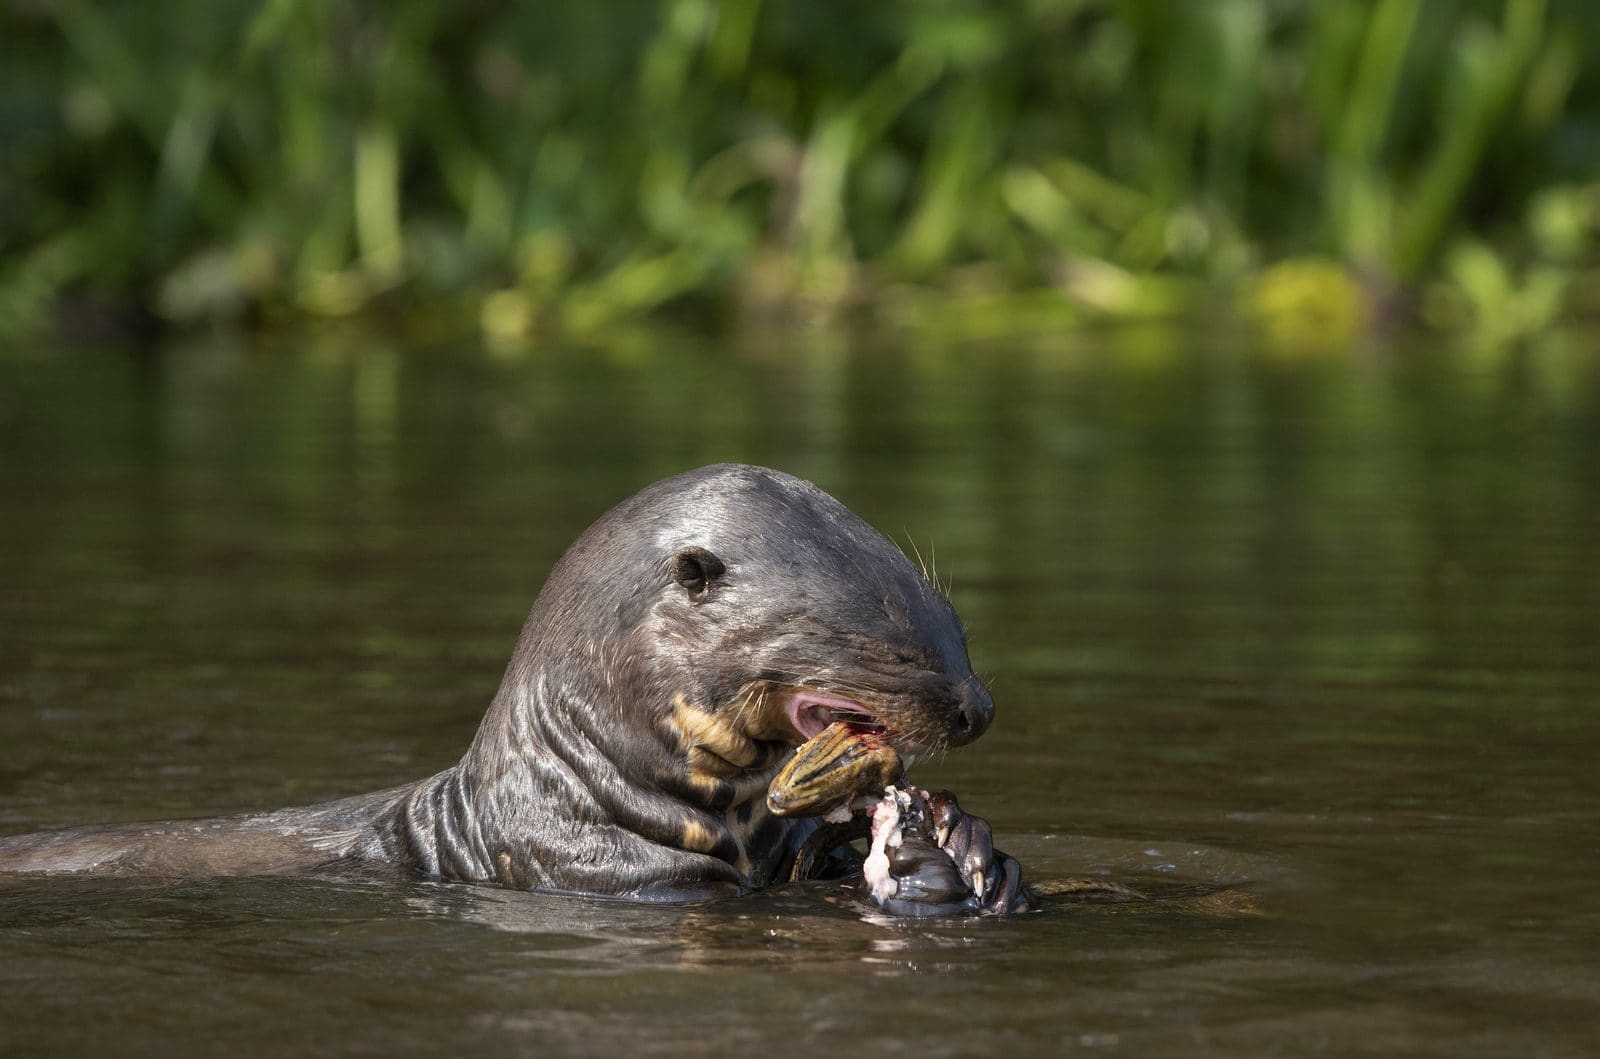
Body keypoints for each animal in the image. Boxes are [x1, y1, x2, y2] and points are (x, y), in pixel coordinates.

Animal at [0, 465, 1023, 913]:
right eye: (881, 642)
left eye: (952, 622)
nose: (976, 706)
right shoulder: (612, 874)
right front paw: (924, 864)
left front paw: (975, 847)